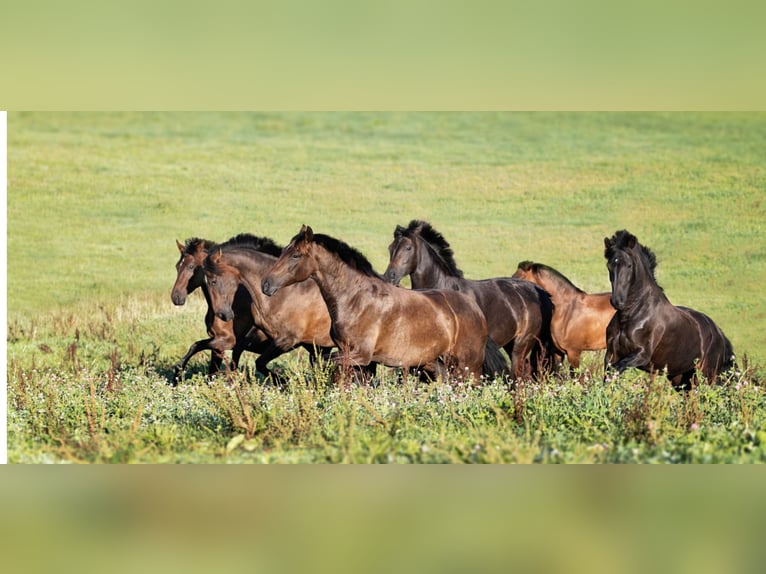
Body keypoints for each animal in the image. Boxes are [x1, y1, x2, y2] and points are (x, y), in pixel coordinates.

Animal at [170, 236, 273, 384]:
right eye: (177, 266)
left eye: (191, 267)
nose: (176, 297)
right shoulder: (218, 345)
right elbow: (211, 370)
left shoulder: (227, 341)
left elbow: (196, 346)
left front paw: (178, 374)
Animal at [203, 234, 335, 380]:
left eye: (213, 281)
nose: (222, 314)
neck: (283, 294)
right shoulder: (264, 335)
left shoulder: (287, 339)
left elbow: (259, 362)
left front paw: (284, 380)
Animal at [261, 225, 508, 383]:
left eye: (295, 255)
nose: (266, 284)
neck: (356, 300)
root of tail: (475, 309)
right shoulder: (351, 355)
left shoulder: (359, 355)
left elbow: (330, 366)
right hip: (434, 362)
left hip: (468, 366)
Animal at [383, 220, 555, 381]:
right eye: (391, 248)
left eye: (408, 248)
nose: (389, 276)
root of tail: (541, 293)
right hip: (511, 344)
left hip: (521, 346)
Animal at [603, 229, 734, 388]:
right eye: (609, 265)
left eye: (629, 265)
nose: (617, 301)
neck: (631, 315)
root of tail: (719, 332)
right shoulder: (611, 354)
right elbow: (607, 375)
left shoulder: (642, 355)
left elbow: (616, 370)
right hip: (681, 377)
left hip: (707, 376)